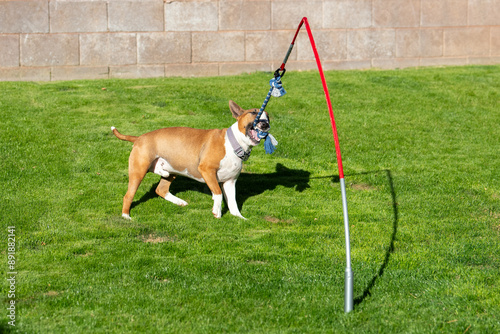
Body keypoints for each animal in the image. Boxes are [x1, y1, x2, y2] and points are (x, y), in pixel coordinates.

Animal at [112, 100, 272, 220]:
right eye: (254, 112)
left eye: (268, 117)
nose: (266, 124)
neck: (234, 144)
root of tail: (138, 138)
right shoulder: (207, 170)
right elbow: (218, 193)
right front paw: (217, 212)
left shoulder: (230, 181)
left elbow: (232, 202)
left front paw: (239, 217)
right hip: (138, 170)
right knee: (128, 195)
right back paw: (126, 216)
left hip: (173, 169)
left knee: (161, 189)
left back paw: (178, 199)